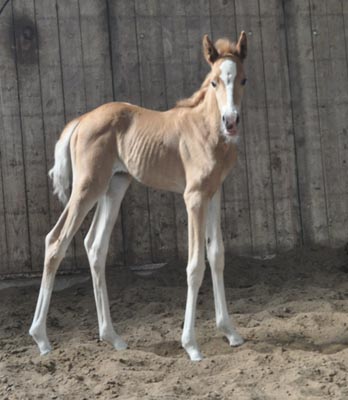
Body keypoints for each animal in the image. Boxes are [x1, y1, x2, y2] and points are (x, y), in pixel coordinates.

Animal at [29, 32, 247, 362]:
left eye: (243, 79)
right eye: (214, 82)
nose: (231, 121)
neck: (206, 130)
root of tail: (79, 121)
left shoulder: (214, 193)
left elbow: (217, 255)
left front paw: (230, 332)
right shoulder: (194, 197)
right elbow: (195, 265)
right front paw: (191, 345)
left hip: (114, 186)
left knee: (95, 246)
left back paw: (112, 337)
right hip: (87, 187)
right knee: (56, 241)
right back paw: (41, 338)